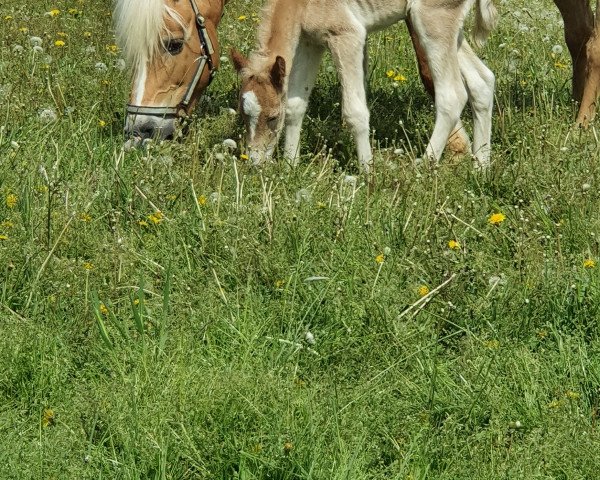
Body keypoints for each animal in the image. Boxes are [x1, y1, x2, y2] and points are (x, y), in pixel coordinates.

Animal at [232, 0, 500, 172]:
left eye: (272, 118)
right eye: (244, 117)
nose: (255, 162)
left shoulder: (347, 34)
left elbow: (355, 111)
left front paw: (366, 173)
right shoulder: (311, 42)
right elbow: (296, 105)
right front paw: (290, 166)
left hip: (431, 19)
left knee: (452, 95)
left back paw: (422, 167)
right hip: (448, 29)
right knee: (482, 81)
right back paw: (481, 166)